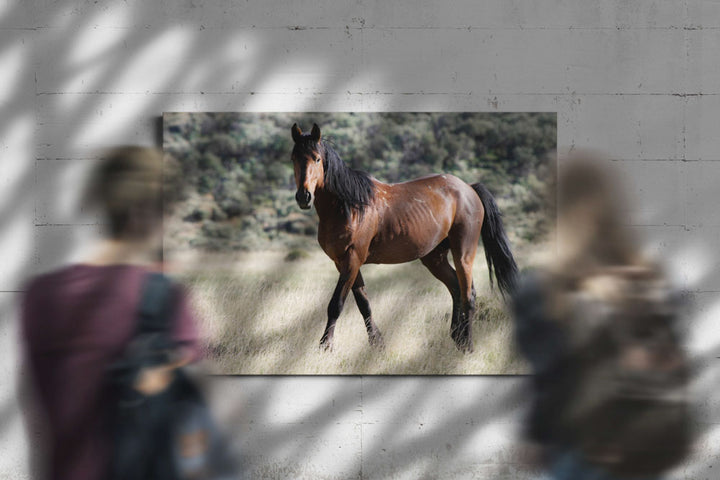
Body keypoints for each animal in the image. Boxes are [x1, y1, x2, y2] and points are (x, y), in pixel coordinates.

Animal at [292, 122, 516, 350]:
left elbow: (336, 304)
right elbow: (363, 303)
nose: (304, 197)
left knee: (468, 295)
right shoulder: (343, 262)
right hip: (434, 258)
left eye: (317, 159)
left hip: (463, 252)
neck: (350, 206)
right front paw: (376, 342)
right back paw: (457, 338)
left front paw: (325, 345)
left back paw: (467, 345)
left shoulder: (352, 259)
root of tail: (469, 188)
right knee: (455, 288)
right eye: (294, 158)